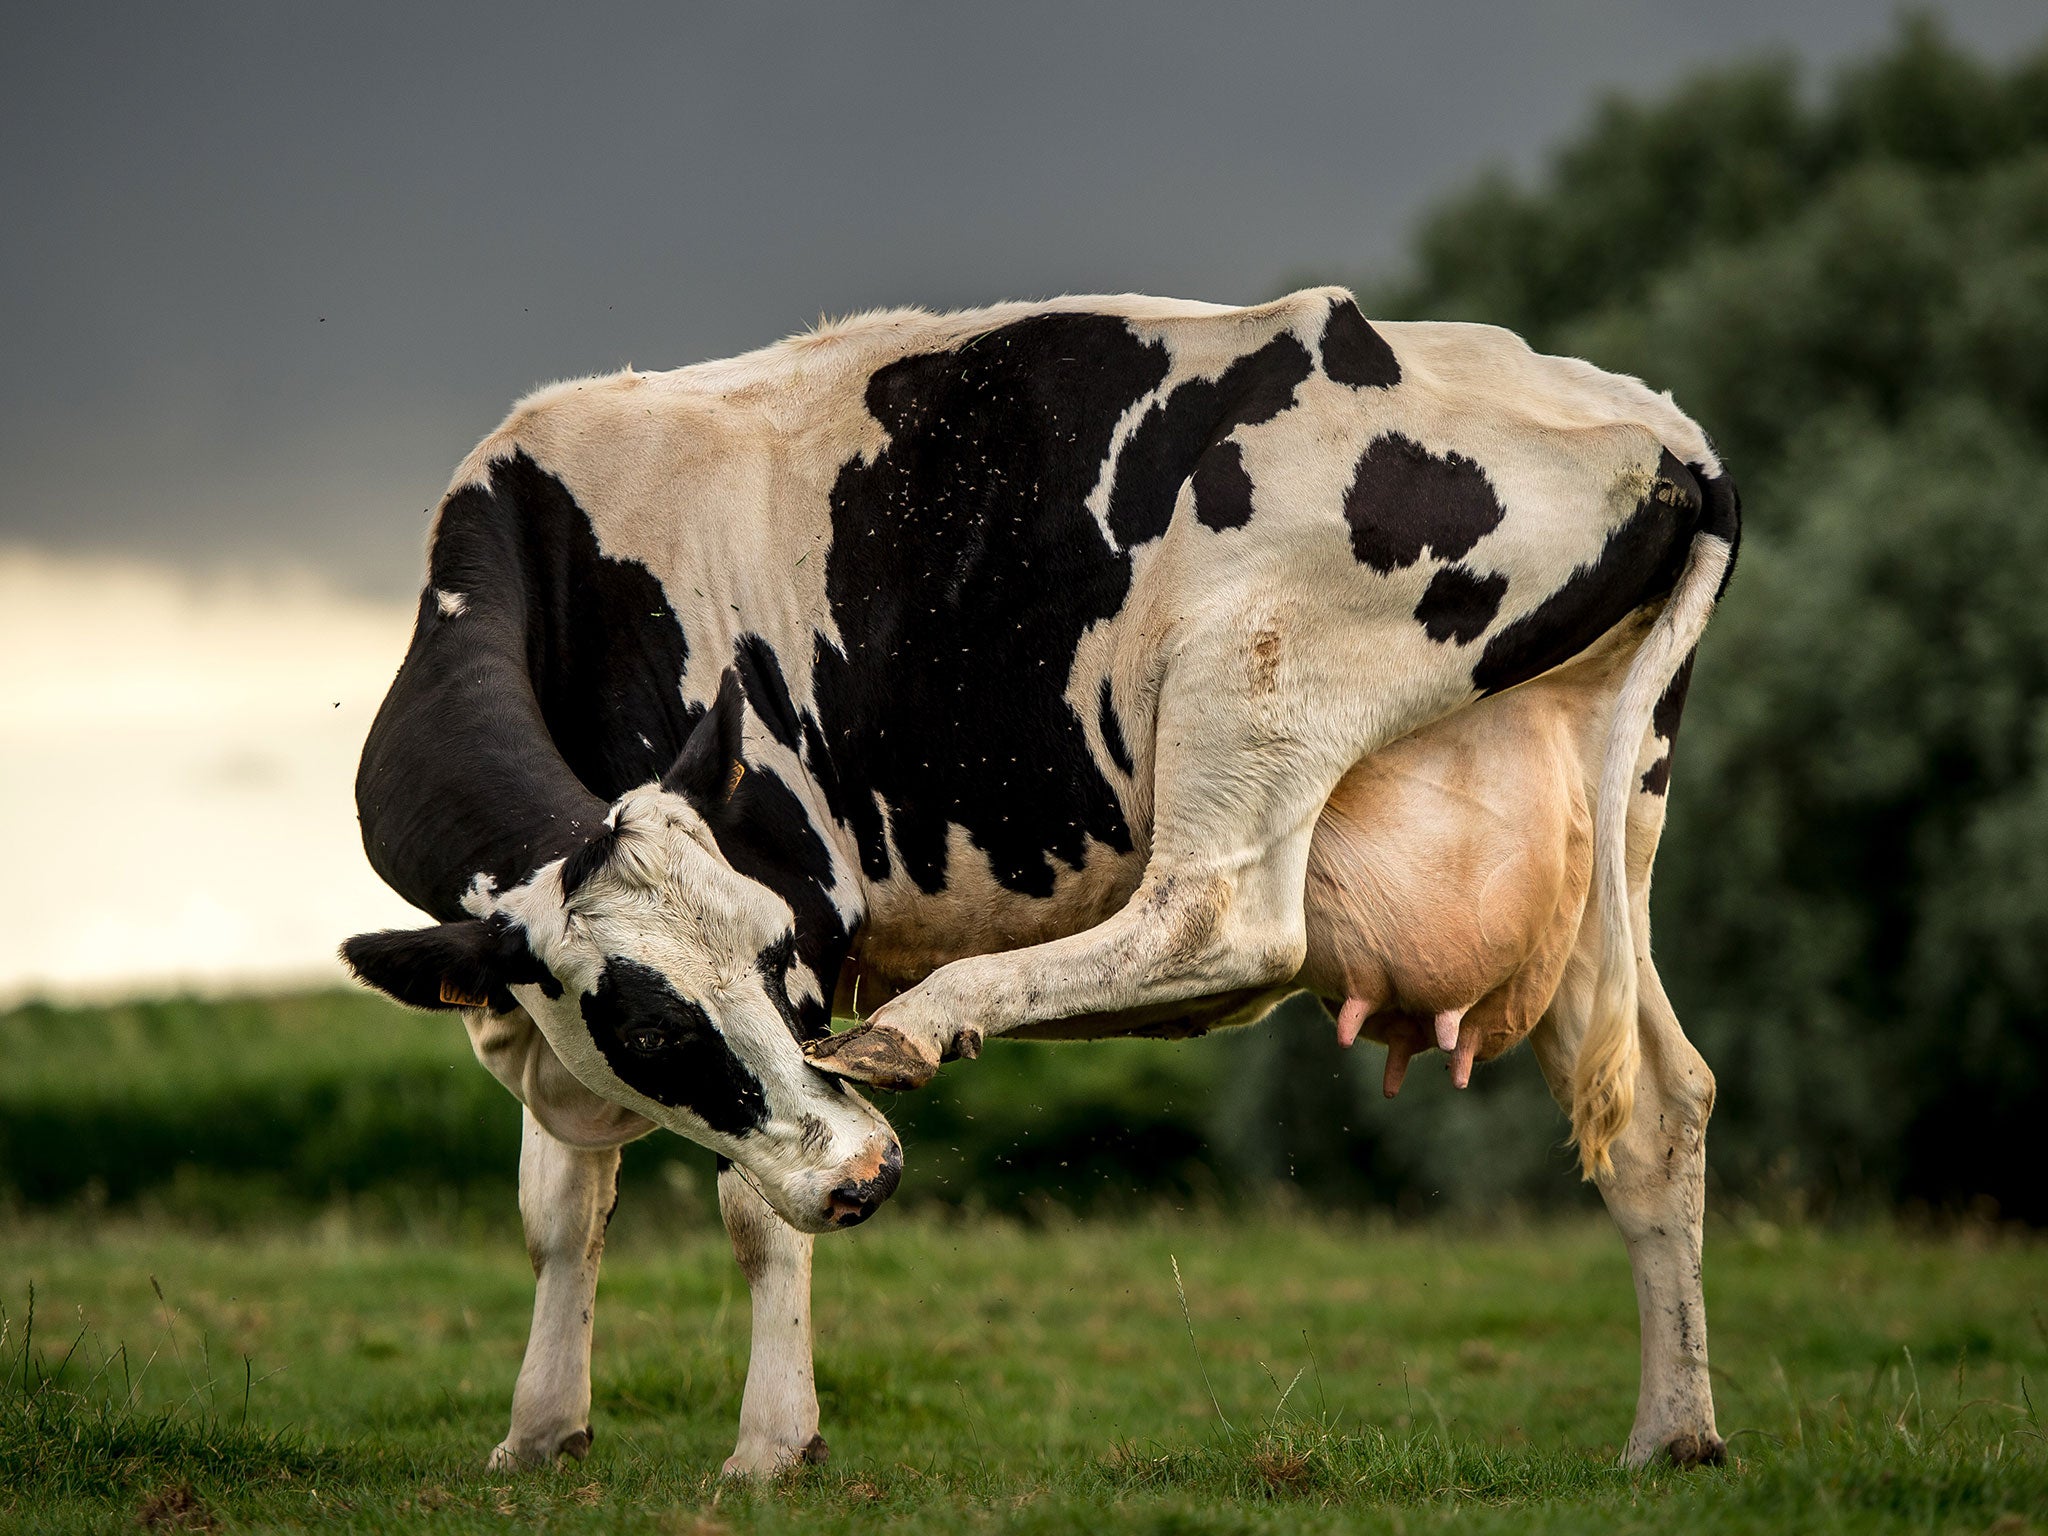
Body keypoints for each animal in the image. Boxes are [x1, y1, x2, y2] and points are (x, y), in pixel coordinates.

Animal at [344, 288, 1736, 1482]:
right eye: (644, 1027)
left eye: (775, 955)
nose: (870, 1175)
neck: (558, 563)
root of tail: (1648, 421)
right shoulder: (537, 994)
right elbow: (559, 1210)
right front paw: (538, 1434)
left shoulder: (807, 887)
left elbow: (754, 1206)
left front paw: (768, 1446)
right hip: (1598, 831)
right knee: (1660, 1108)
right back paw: (1671, 1433)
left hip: (1248, 673)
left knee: (1219, 920)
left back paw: (927, 1019)